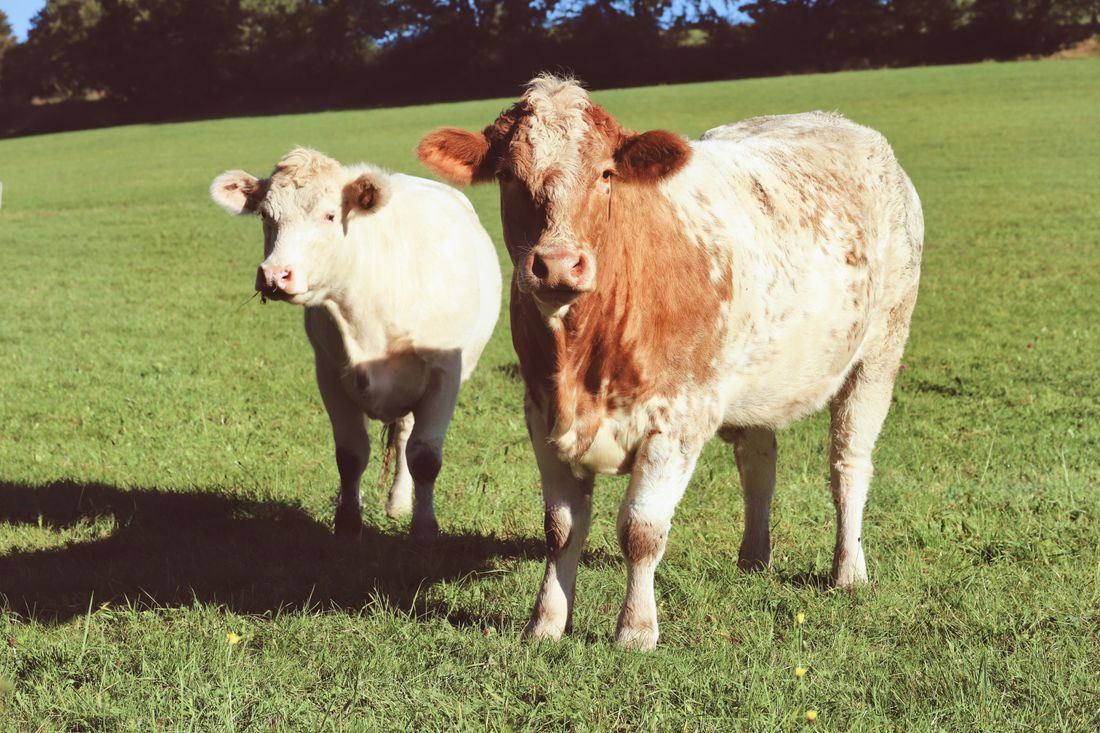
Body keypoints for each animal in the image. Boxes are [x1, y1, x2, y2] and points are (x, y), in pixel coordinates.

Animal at [210, 148, 502, 540]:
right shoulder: (330, 373)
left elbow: (425, 456)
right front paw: (348, 523)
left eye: (330, 214)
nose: (274, 275)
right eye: (266, 215)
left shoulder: (444, 374)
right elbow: (350, 455)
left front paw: (425, 528)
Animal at [417, 75, 923, 649]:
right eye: (506, 174)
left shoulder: (678, 419)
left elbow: (641, 530)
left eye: (606, 173)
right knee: (759, 463)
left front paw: (636, 630)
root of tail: (833, 121)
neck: (583, 357)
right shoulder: (541, 414)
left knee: (849, 464)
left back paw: (848, 569)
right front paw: (544, 622)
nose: (557, 265)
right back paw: (754, 557)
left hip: (879, 352)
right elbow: (561, 528)